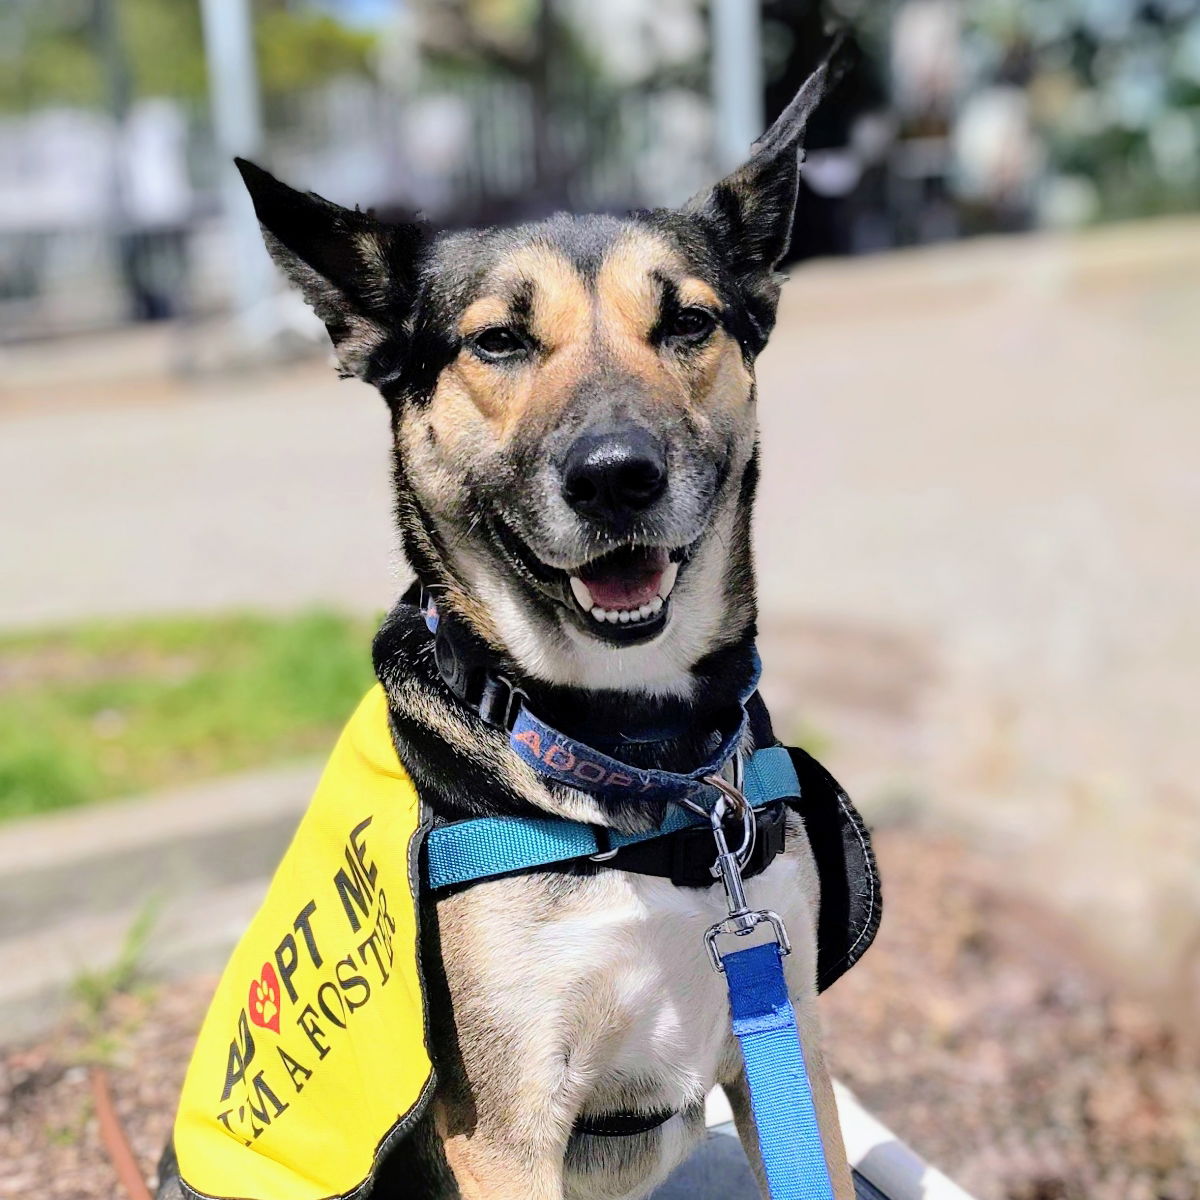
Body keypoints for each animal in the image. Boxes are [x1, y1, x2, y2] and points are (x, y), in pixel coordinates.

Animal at [171, 63, 864, 1200]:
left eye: (688, 323)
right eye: (499, 340)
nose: (617, 475)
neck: (637, 747)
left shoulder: (786, 1042)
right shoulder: (507, 1129)